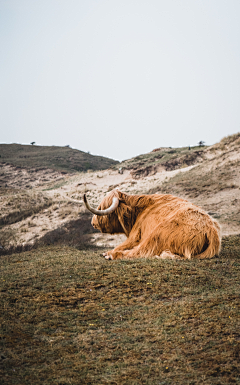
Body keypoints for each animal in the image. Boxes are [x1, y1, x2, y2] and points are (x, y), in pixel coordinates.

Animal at [83, 190, 221, 260]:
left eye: (103, 207)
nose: (93, 223)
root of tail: (211, 230)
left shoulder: (134, 237)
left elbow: (121, 246)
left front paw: (109, 252)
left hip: (157, 234)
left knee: (139, 251)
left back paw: (110, 255)